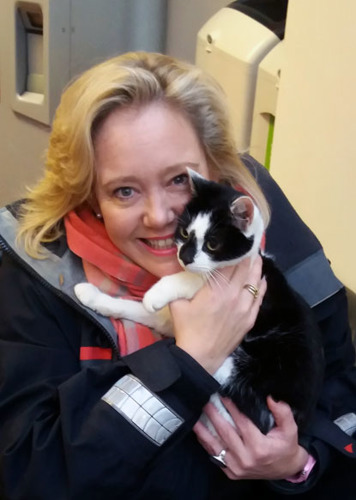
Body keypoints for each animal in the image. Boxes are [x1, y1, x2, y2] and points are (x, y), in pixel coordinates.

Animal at [76, 169, 326, 434]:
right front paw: (93, 296)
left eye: (212, 244)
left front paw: (158, 291)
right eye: (185, 233)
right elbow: (141, 310)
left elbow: (196, 279)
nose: (184, 257)